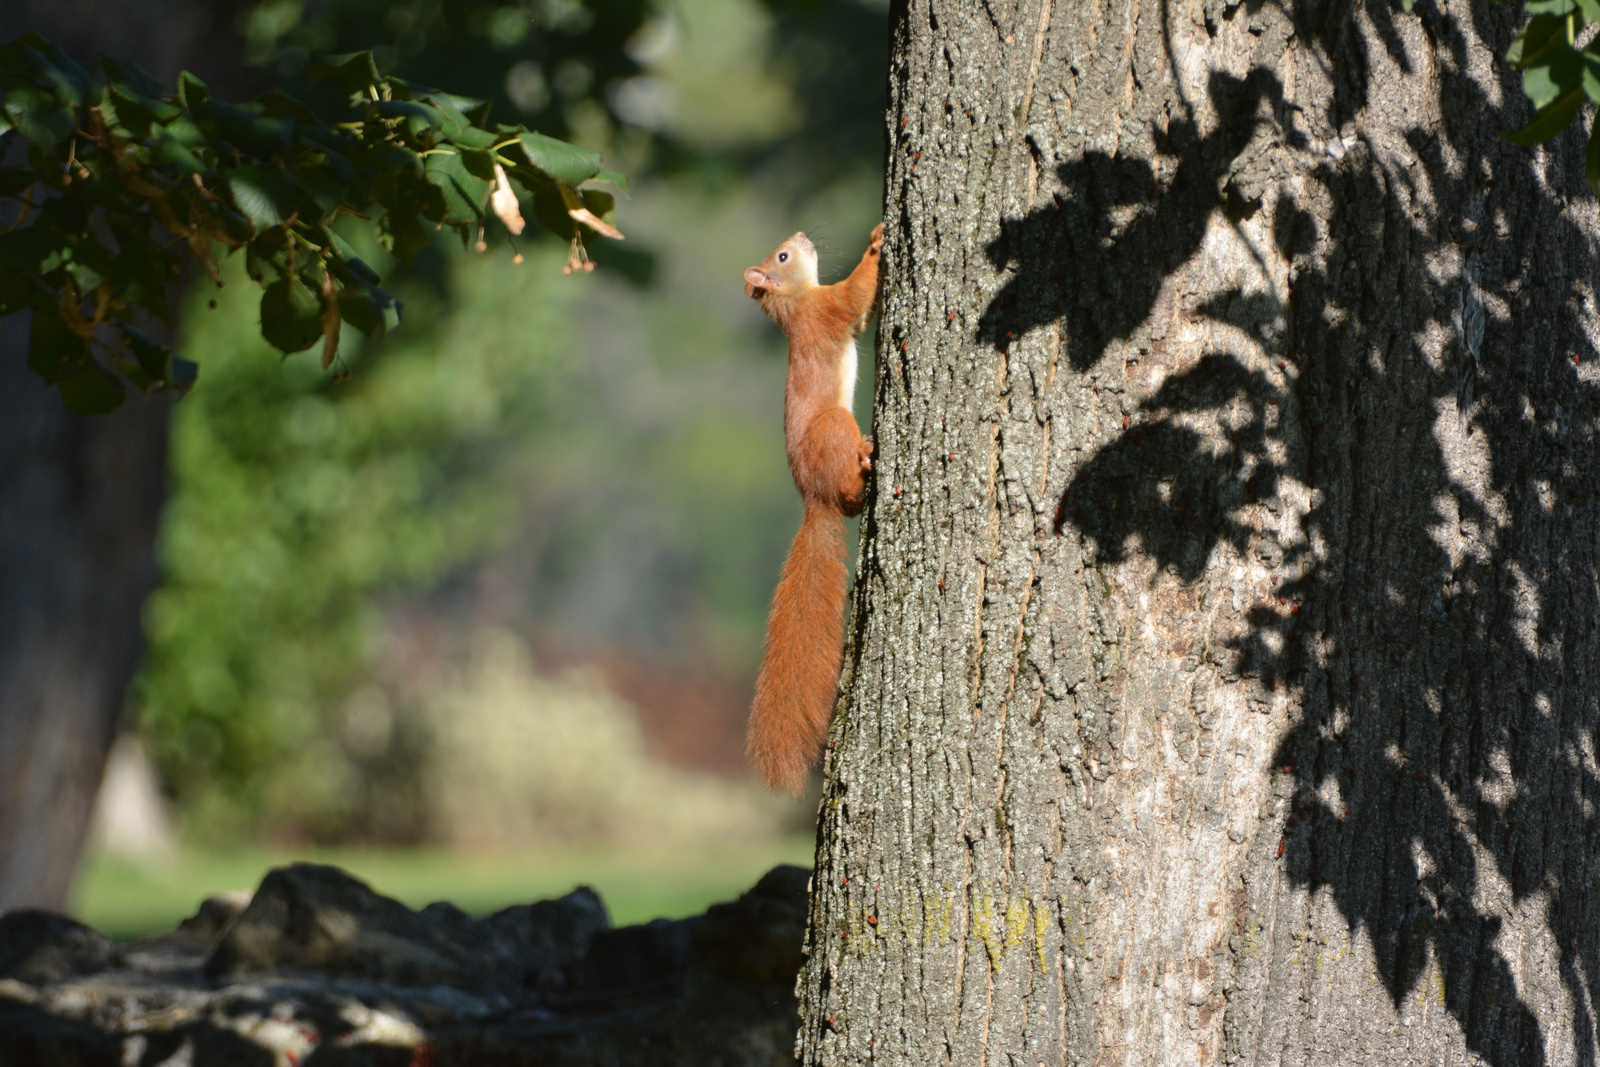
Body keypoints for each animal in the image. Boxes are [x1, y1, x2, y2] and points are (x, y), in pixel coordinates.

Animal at [739, 223, 883, 793]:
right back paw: (865, 460)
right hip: (834, 428)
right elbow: (856, 297)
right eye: (782, 255)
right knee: (847, 492)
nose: (801, 234)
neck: (799, 301)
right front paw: (877, 242)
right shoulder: (830, 310)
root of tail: (812, 499)